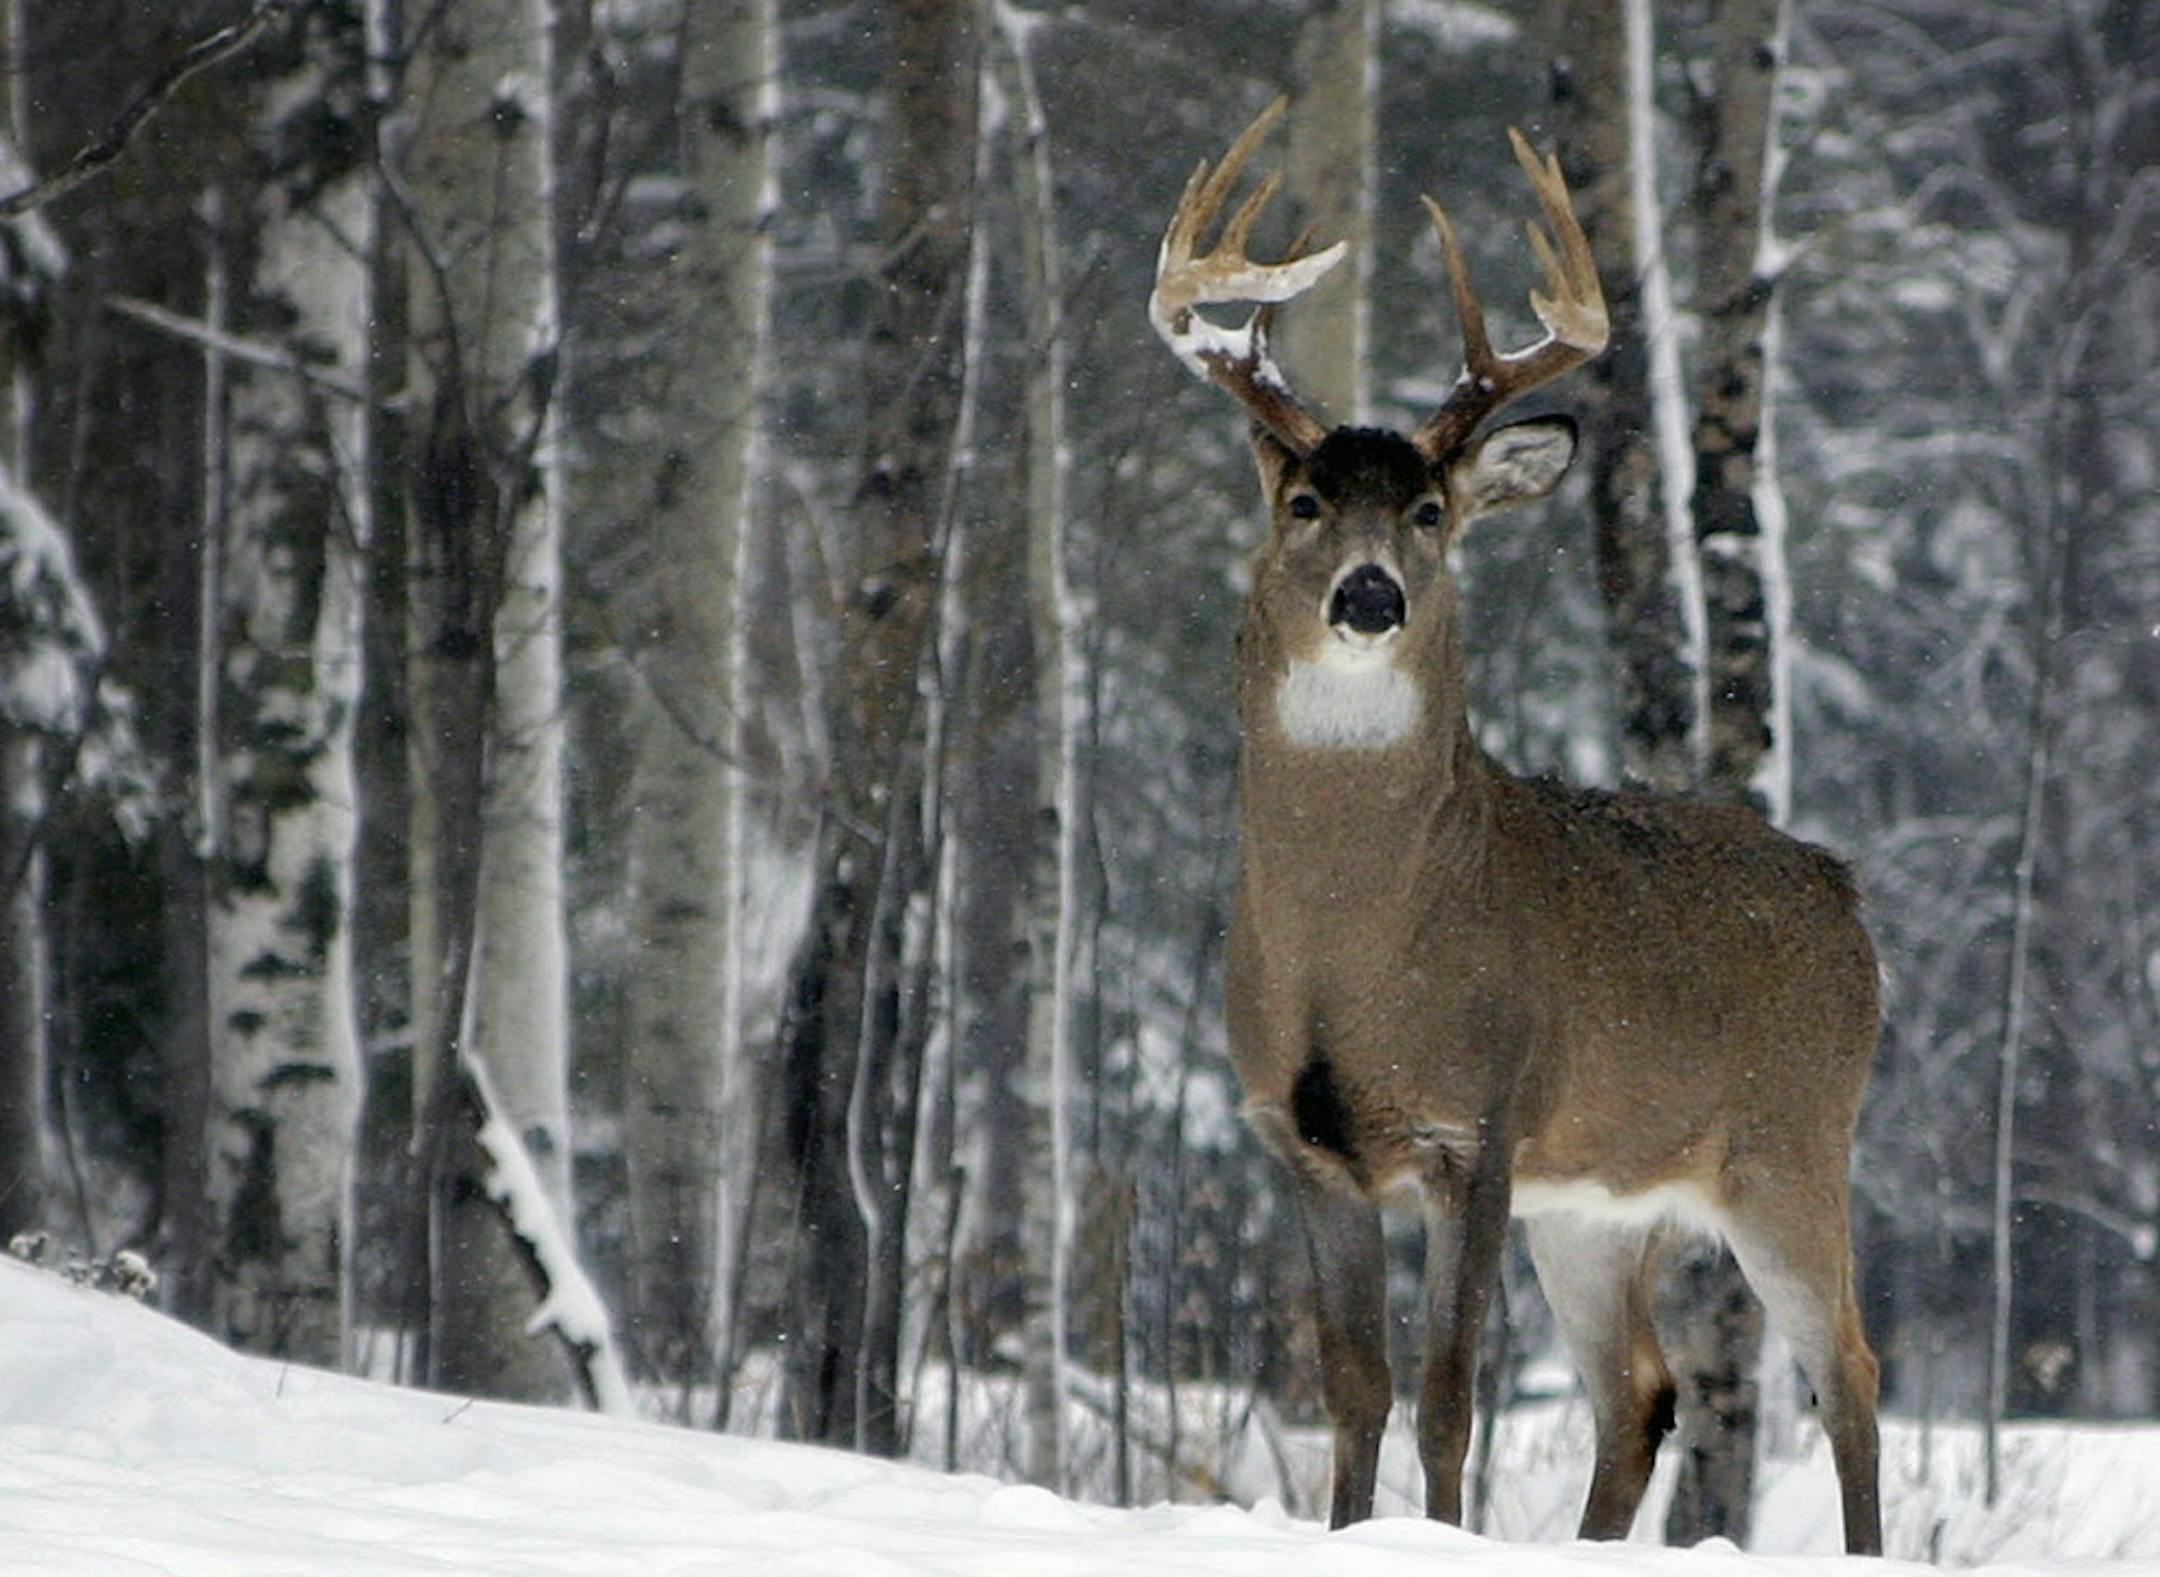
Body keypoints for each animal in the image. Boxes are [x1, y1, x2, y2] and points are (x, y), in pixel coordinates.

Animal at [1148, 100, 1882, 1557]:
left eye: (1430, 512)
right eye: (1305, 504)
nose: (1371, 595)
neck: (1357, 947)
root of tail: (1850, 901)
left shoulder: (1475, 1125)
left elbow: (1447, 1390)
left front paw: (1432, 1535)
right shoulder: (1302, 1139)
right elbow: (1356, 1384)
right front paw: (1353, 1532)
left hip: (1790, 1143)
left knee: (1850, 1372)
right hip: (1599, 1204)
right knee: (1642, 1389)